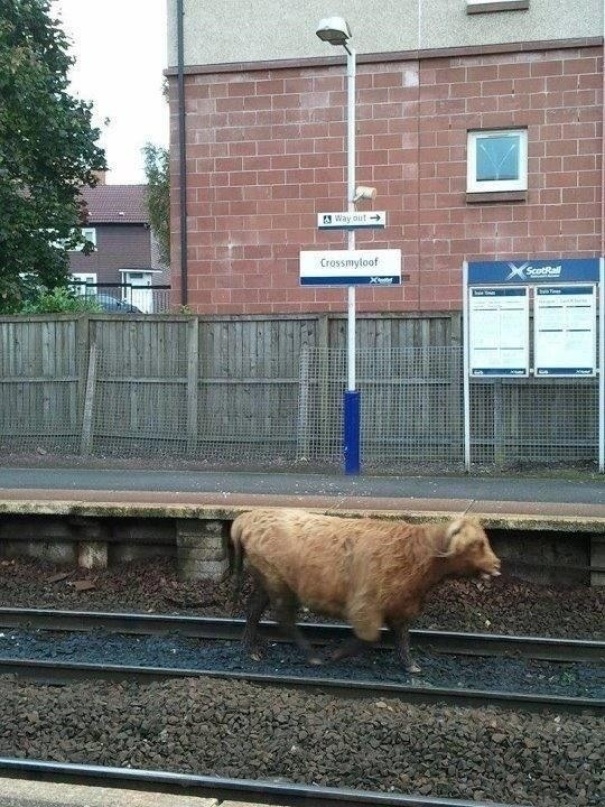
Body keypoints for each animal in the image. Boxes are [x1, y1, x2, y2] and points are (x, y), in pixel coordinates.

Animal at [230, 507, 501, 672]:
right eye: (477, 544)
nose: (497, 564)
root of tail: (247, 517)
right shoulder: (366, 604)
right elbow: (371, 637)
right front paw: (337, 654)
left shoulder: (400, 604)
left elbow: (402, 637)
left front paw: (410, 665)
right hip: (278, 583)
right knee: (283, 619)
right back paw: (311, 655)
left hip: (266, 581)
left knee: (253, 610)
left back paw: (248, 648)